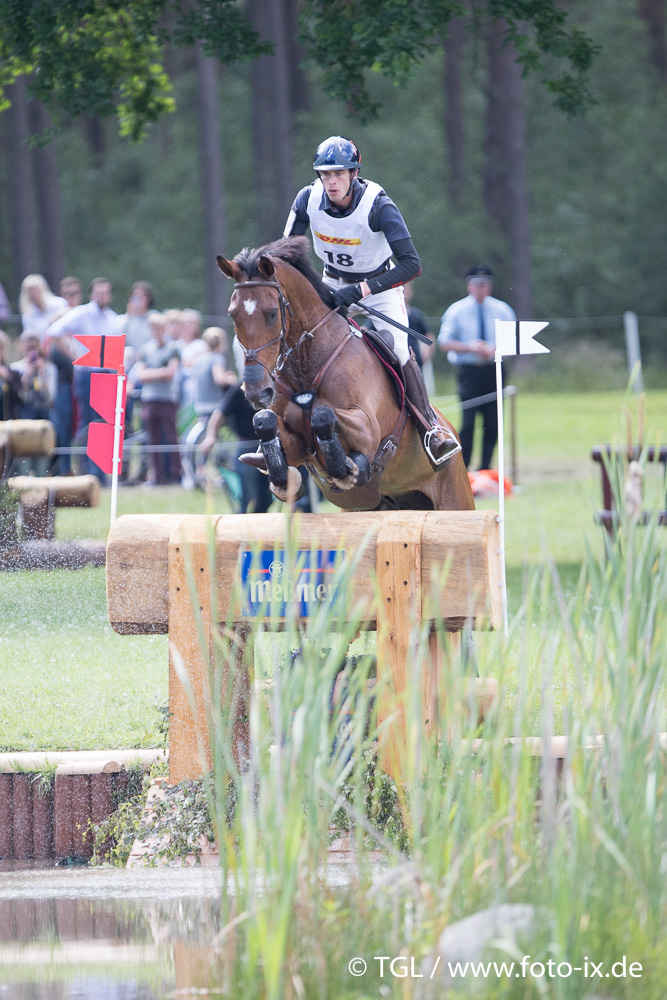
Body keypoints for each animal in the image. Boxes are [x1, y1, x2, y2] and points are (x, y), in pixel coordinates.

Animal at [215, 237, 474, 512]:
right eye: (232, 314)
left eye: (272, 313)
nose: (257, 391)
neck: (305, 370)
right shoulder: (296, 445)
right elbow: (265, 421)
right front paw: (282, 478)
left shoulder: (368, 429)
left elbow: (321, 414)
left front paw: (346, 467)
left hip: (454, 499)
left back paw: (439, 443)